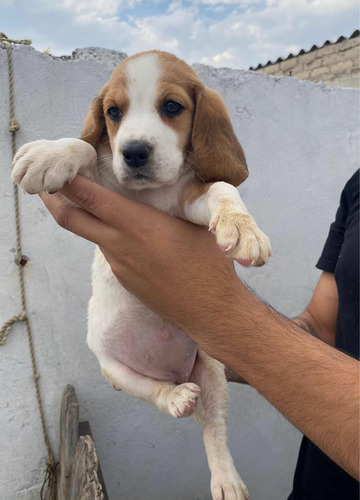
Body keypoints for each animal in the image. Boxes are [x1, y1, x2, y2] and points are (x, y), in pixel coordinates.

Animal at [11, 50, 272, 500]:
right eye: (113, 112)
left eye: (172, 107)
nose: (132, 152)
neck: (153, 194)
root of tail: (173, 374)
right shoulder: (103, 190)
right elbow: (84, 147)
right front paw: (49, 154)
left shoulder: (190, 201)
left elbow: (221, 187)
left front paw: (242, 226)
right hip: (115, 370)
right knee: (154, 393)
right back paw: (174, 397)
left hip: (211, 372)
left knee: (214, 429)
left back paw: (225, 478)